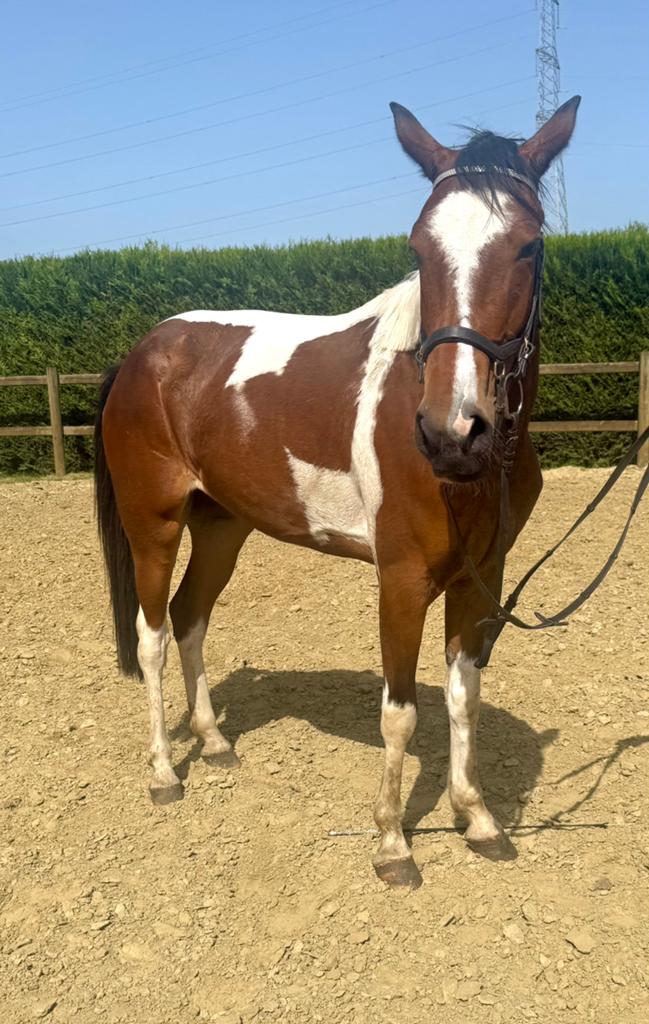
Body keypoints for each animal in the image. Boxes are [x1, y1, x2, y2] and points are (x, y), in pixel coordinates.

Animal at [95, 94, 580, 889]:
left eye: (529, 246)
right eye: (419, 247)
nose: (452, 432)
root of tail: (143, 354)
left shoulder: (480, 579)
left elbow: (463, 698)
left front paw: (477, 818)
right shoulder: (402, 580)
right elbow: (399, 712)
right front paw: (392, 844)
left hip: (222, 526)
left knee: (192, 618)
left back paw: (215, 742)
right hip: (153, 526)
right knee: (153, 635)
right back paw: (165, 772)